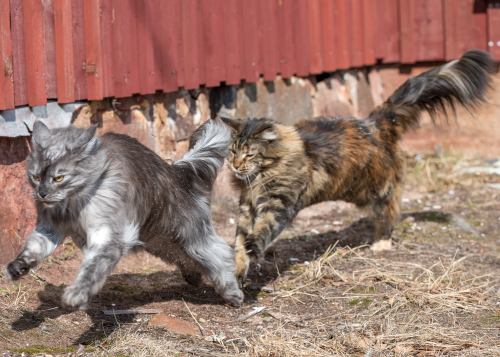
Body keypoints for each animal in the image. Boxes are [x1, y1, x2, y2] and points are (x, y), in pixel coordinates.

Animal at [5, 118, 244, 308]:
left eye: (58, 178)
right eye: (36, 177)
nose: (42, 194)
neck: (72, 205)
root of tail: (177, 171)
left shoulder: (108, 238)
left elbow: (91, 270)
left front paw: (77, 295)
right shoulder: (49, 231)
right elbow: (33, 250)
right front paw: (17, 267)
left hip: (192, 238)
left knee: (221, 255)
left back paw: (233, 294)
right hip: (160, 242)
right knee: (185, 258)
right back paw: (194, 277)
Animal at [224, 50, 500, 278]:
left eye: (249, 155)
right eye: (232, 152)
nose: (235, 166)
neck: (259, 177)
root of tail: (374, 123)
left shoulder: (280, 203)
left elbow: (263, 229)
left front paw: (253, 247)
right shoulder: (247, 206)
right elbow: (238, 239)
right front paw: (238, 270)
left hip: (377, 192)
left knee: (390, 213)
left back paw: (381, 244)